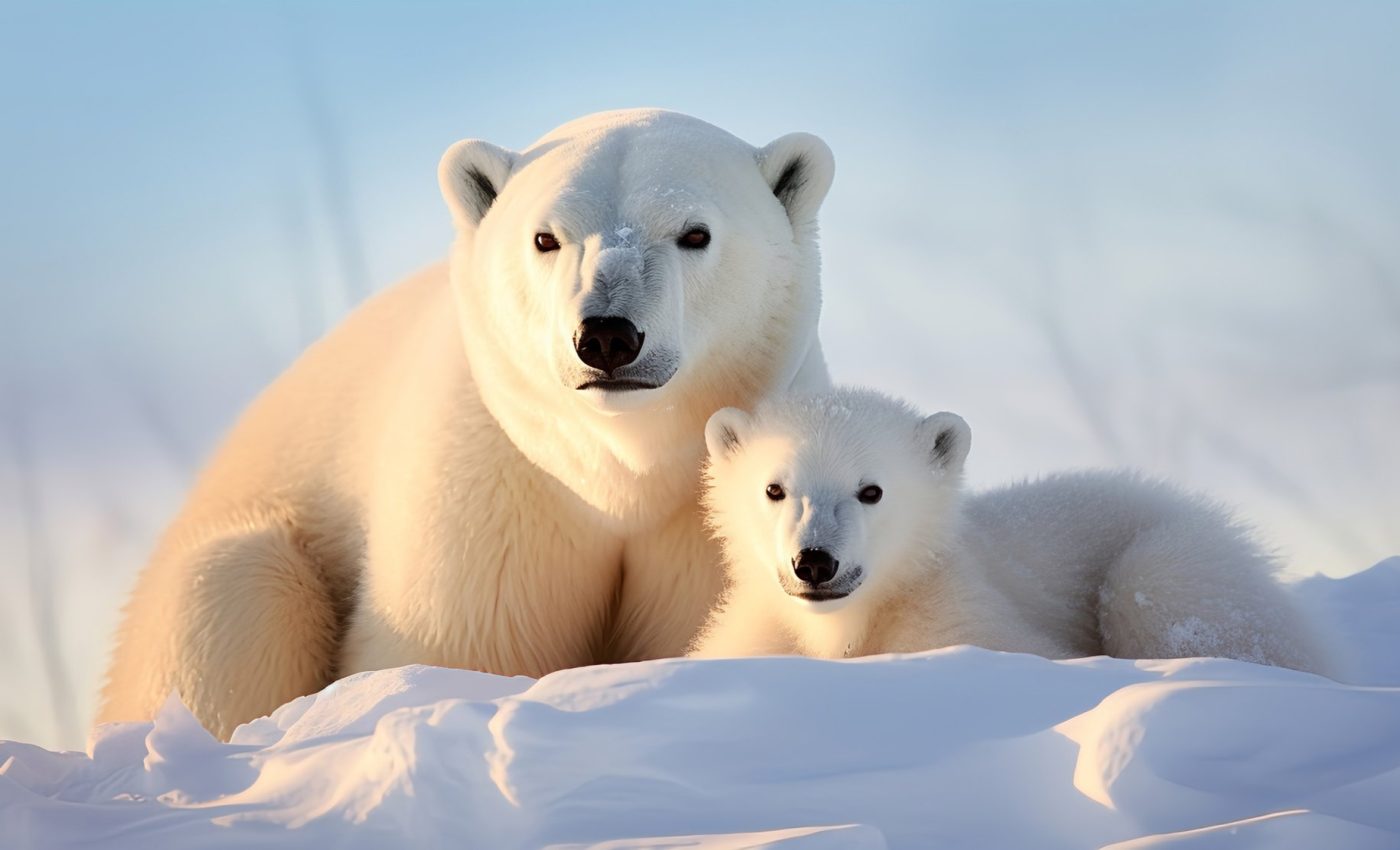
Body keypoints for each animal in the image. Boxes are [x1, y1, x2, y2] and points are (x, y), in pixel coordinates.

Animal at [99, 109, 837, 739]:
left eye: (695, 233)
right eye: (545, 238)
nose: (606, 336)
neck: (624, 472)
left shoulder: (711, 505)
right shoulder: (492, 484)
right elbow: (463, 646)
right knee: (234, 602)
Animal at [690, 387, 1334, 675]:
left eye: (871, 490)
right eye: (774, 489)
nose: (815, 562)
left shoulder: (959, 618)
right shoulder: (758, 636)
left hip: (1183, 558)